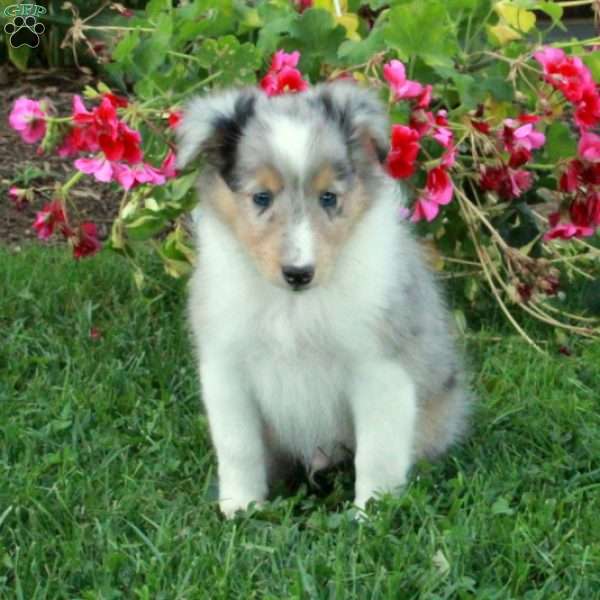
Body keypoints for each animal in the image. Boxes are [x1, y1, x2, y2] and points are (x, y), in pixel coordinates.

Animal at [176, 82, 472, 516]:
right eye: (261, 198)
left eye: (329, 198)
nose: (299, 273)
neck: (294, 307)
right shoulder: (227, 367)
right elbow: (238, 446)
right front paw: (240, 507)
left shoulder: (380, 369)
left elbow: (377, 452)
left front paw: (370, 514)